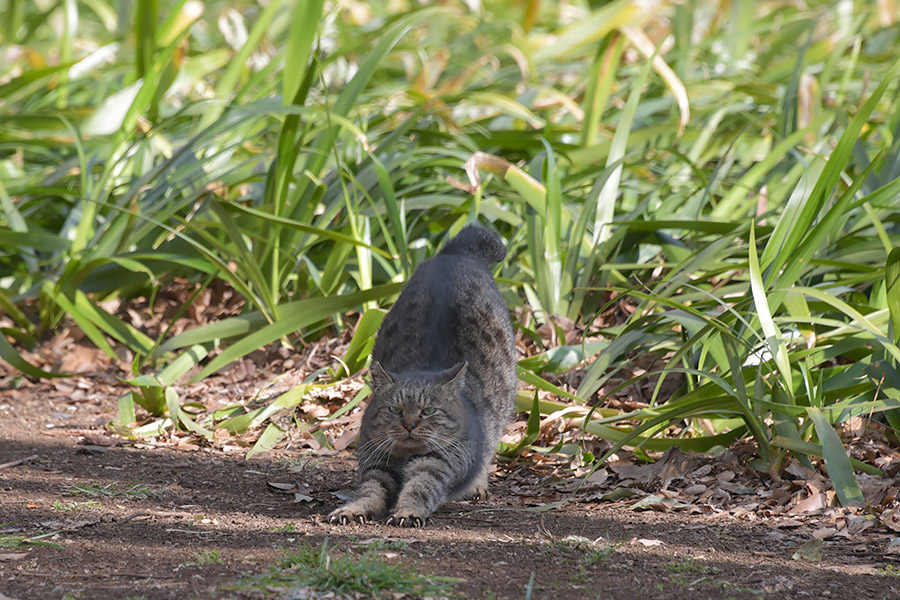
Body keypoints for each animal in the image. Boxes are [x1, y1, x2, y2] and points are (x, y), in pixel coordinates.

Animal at [330, 224, 516, 524]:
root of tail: (456, 251)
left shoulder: (438, 463)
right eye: (395, 410)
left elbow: (420, 487)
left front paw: (407, 511)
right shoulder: (377, 461)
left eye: (428, 411)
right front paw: (354, 508)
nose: (409, 425)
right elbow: (369, 489)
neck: (406, 456)